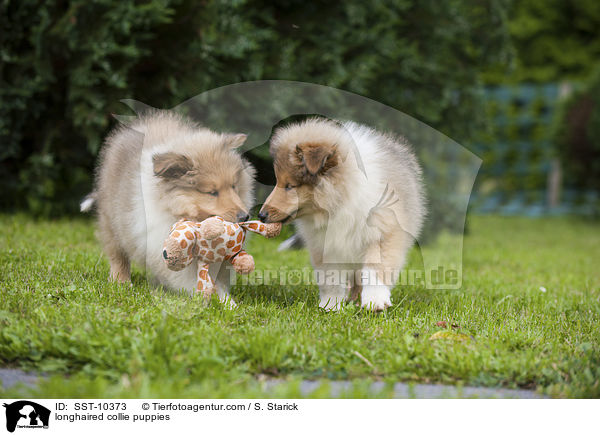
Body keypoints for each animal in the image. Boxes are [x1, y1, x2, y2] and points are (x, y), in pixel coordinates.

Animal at [85, 110, 254, 304]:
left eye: (234, 186)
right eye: (212, 192)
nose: (245, 216)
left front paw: (228, 303)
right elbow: (189, 278)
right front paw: (208, 298)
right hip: (111, 220)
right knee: (117, 254)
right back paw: (121, 282)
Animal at [258, 117, 426, 312]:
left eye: (290, 186)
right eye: (278, 181)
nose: (261, 215)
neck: (341, 200)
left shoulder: (384, 232)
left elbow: (375, 268)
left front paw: (375, 302)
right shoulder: (326, 244)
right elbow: (331, 278)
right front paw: (331, 305)